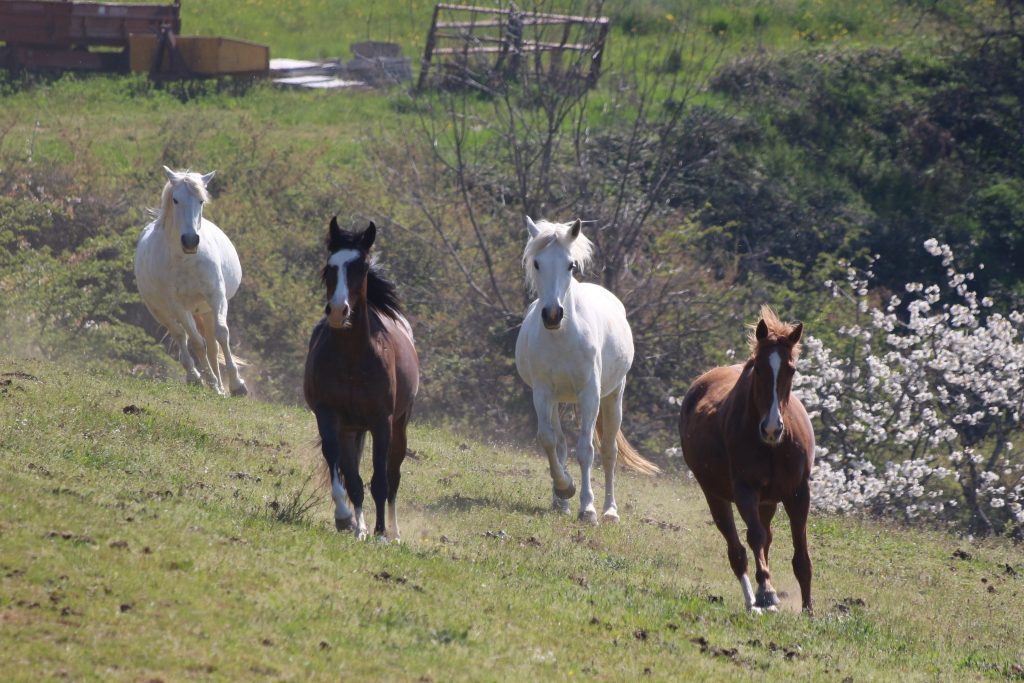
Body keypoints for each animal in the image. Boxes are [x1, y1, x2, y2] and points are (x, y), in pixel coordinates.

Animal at [133, 167, 246, 397]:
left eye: (201, 201)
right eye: (175, 200)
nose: (190, 241)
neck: (186, 261)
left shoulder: (216, 296)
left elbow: (222, 335)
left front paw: (236, 385)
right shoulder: (177, 306)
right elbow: (196, 343)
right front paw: (211, 382)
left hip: (205, 310)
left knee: (212, 344)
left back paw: (219, 386)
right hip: (162, 312)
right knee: (181, 337)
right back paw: (196, 378)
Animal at [301, 218, 417, 540]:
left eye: (361, 268)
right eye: (330, 266)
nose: (338, 311)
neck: (353, 358)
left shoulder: (382, 421)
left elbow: (380, 481)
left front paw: (381, 534)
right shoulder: (329, 416)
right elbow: (342, 470)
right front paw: (347, 520)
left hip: (399, 425)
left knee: (393, 476)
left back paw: (394, 531)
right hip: (351, 430)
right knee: (353, 476)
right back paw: (360, 526)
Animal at [516, 216, 659, 528]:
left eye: (570, 264)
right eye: (537, 263)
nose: (552, 315)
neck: (562, 336)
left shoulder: (590, 394)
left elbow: (587, 451)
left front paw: (588, 509)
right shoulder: (542, 393)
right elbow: (548, 440)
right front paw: (564, 489)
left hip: (612, 397)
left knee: (608, 452)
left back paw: (610, 511)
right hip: (558, 400)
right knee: (559, 442)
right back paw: (560, 503)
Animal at [679, 307, 815, 610]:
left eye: (791, 369)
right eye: (760, 368)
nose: (772, 428)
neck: (773, 447)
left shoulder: (799, 493)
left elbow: (801, 557)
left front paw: (809, 611)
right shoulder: (745, 490)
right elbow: (755, 537)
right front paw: (766, 591)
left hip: (768, 502)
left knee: (765, 540)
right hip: (716, 496)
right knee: (738, 551)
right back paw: (754, 602)